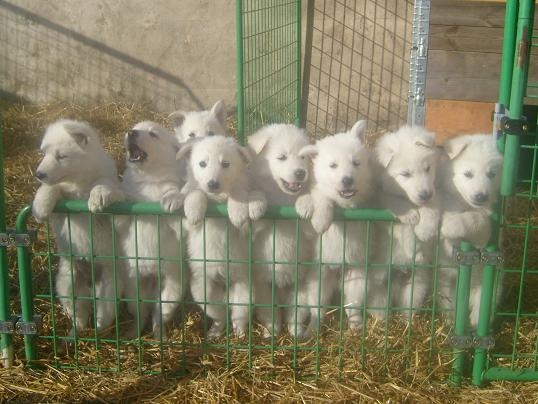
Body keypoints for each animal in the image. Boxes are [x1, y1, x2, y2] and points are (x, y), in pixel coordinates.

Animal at [33, 118, 124, 336]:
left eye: (61, 156)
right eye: (44, 153)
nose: (39, 174)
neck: (78, 183)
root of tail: (91, 283)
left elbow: (105, 185)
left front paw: (99, 195)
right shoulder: (61, 212)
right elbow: (51, 188)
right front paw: (40, 206)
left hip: (110, 287)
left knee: (103, 315)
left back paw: (97, 332)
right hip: (67, 283)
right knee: (79, 314)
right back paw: (73, 334)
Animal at [177, 136, 264, 338]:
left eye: (226, 164)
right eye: (202, 163)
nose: (212, 184)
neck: (217, 199)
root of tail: (225, 286)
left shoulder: (247, 230)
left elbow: (238, 193)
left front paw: (238, 211)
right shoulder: (185, 225)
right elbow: (195, 192)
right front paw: (194, 209)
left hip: (245, 290)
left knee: (238, 315)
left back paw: (240, 333)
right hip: (203, 290)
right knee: (220, 315)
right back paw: (215, 332)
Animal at [372, 125, 440, 316]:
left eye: (427, 169)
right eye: (405, 174)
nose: (425, 194)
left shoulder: (434, 190)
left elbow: (433, 204)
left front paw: (426, 228)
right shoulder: (379, 200)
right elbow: (401, 219)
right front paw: (411, 219)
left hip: (416, 286)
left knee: (408, 306)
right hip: (377, 289)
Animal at [438, 134, 500, 326]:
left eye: (492, 174)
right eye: (468, 174)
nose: (481, 196)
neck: (465, 204)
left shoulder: (487, 229)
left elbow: (475, 219)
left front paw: (450, 225)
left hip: (492, 284)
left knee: (484, 304)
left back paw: (475, 320)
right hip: (446, 283)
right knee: (449, 304)